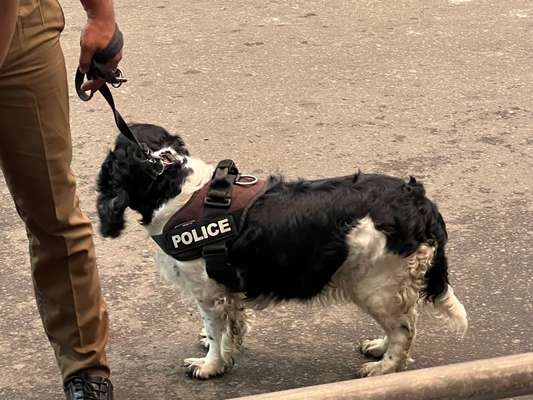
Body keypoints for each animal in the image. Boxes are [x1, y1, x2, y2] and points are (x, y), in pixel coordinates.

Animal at [96, 123, 466, 380]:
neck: (171, 181)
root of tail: (419, 201)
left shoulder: (208, 292)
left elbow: (216, 333)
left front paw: (210, 365)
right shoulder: (226, 290)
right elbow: (232, 327)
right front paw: (225, 354)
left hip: (375, 285)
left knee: (404, 331)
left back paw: (383, 368)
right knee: (404, 322)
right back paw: (379, 347)